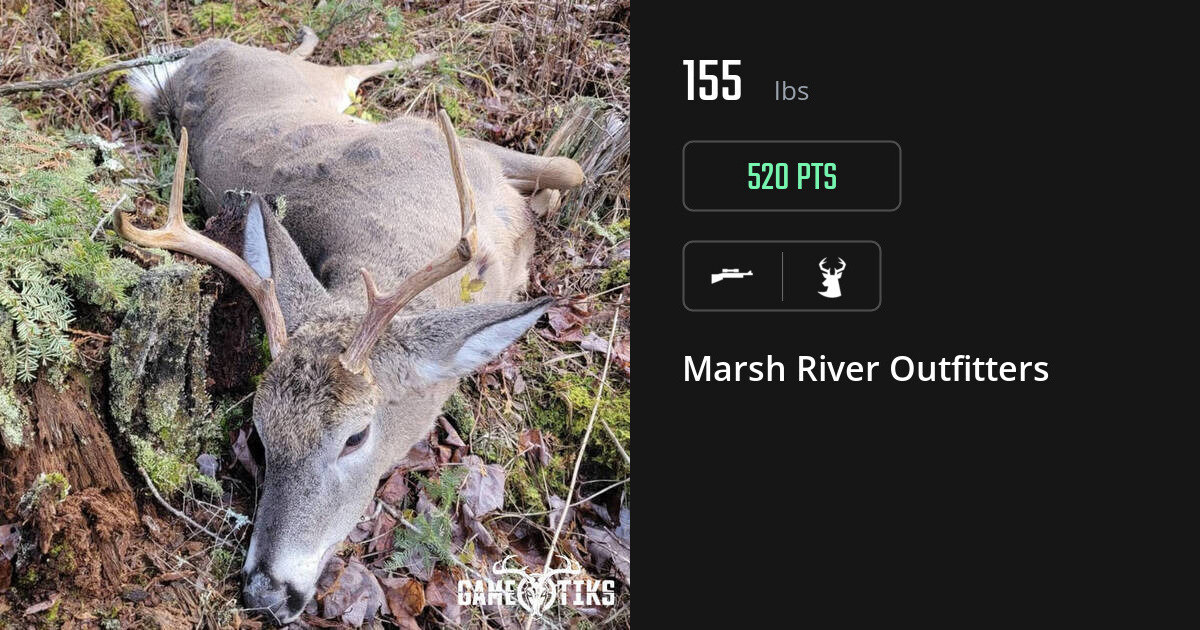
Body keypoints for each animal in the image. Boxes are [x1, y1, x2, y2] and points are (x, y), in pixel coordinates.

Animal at [120, 36, 584, 624]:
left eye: (356, 437)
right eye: (259, 436)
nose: (266, 592)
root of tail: (197, 58)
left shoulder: (460, 147)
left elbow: (570, 168)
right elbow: (565, 176)